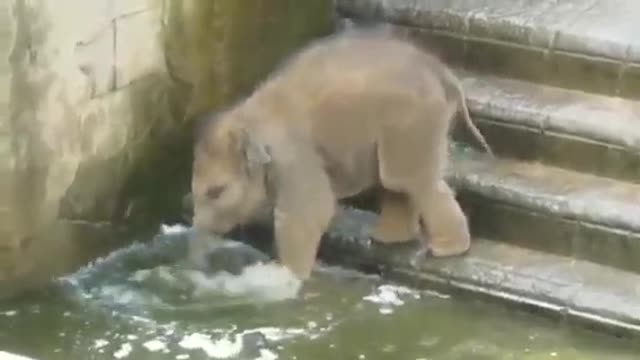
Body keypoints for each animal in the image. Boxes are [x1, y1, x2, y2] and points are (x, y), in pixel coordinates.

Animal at [190, 28, 490, 282]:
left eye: (216, 192)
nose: (196, 230)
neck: (245, 121)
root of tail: (442, 71)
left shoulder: (294, 154)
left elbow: (310, 210)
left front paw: (289, 278)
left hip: (411, 121)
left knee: (406, 179)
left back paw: (445, 249)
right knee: (395, 183)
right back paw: (387, 239)